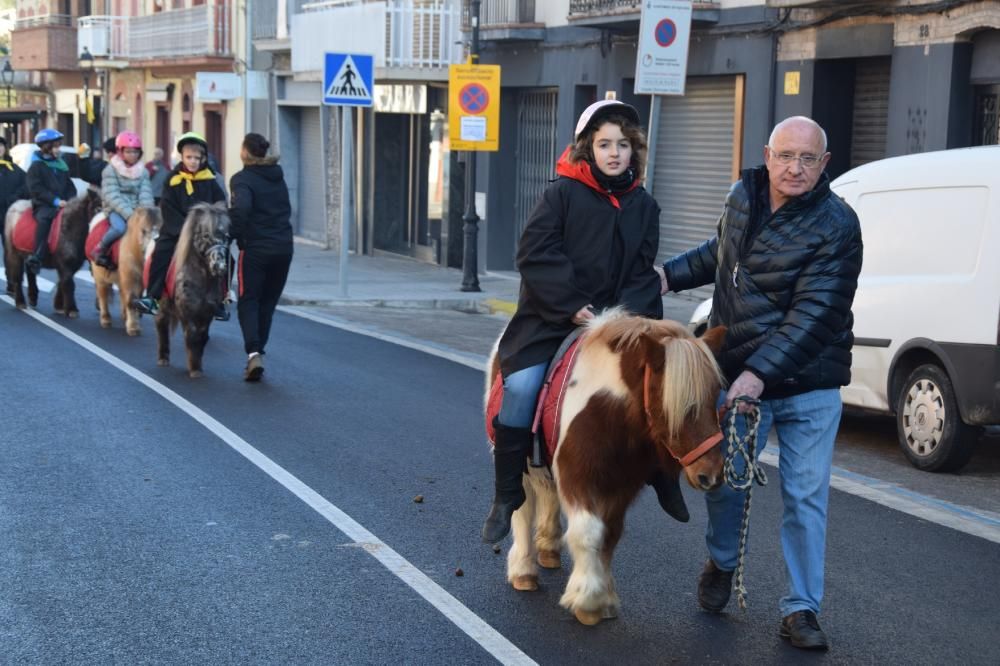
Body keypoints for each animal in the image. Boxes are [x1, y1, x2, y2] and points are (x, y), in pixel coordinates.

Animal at [152, 202, 229, 376]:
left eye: (226, 237)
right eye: (206, 235)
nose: (220, 267)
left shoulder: (207, 312)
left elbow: (203, 337)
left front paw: (197, 366)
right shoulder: (187, 310)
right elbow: (192, 335)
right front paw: (194, 369)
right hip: (164, 304)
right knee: (161, 322)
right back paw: (163, 358)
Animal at [486, 310, 728, 624]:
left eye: (715, 396)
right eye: (678, 404)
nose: (711, 474)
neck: (611, 414)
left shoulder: (621, 486)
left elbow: (610, 535)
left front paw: (606, 598)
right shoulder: (577, 478)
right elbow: (588, 532)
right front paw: (587, 600)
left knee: (548, 496)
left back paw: (548, 548)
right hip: (522, 466)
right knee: (521, 508)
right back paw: (523, 570)